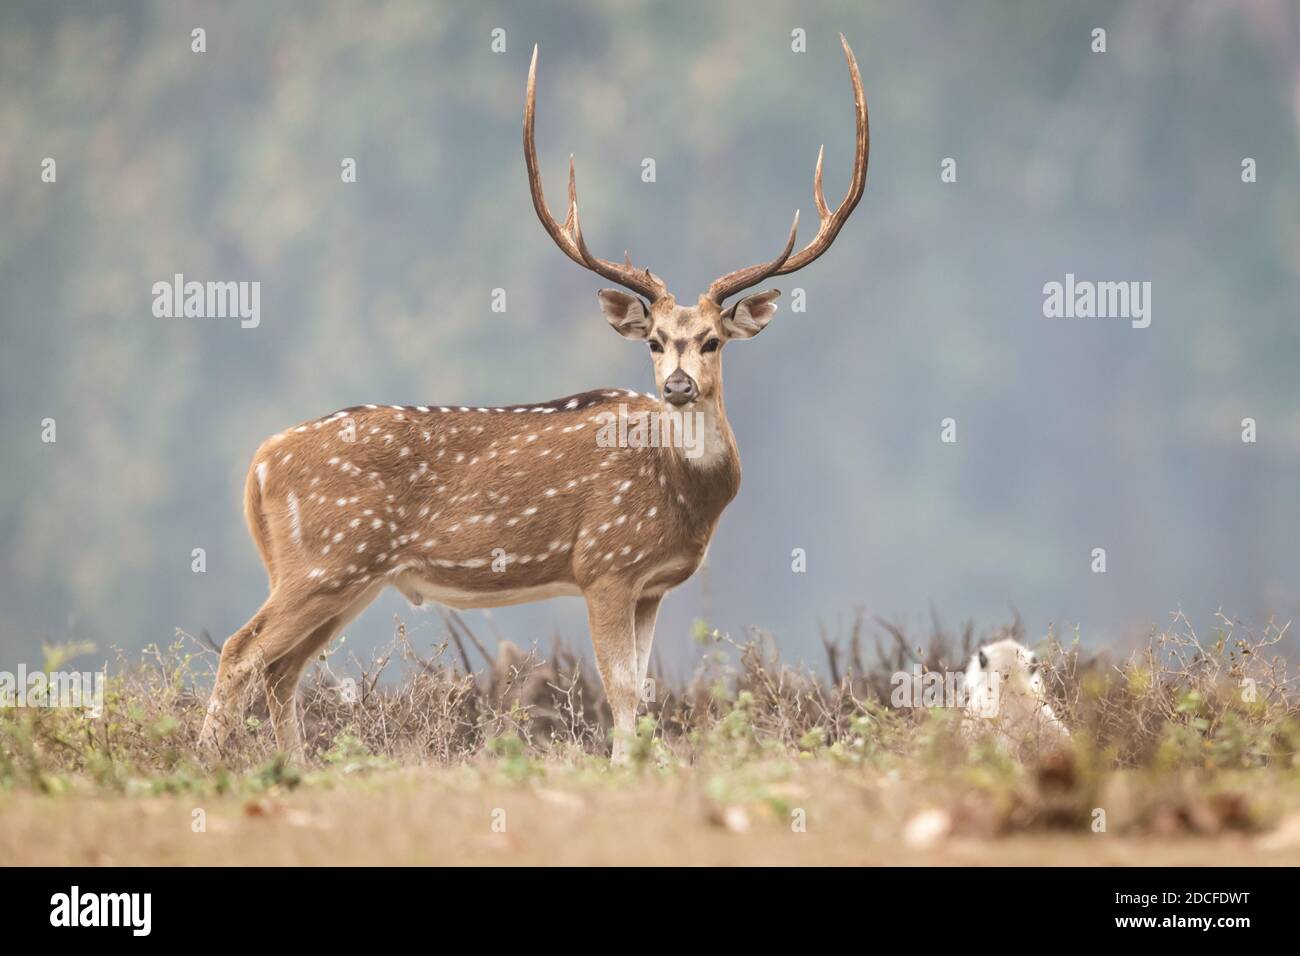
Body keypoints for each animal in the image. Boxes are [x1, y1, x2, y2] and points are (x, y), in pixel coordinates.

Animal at [198, 36, 868, 764]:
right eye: (655, 341)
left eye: (713, 340)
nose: (677, 385)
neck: (685, 495)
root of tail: (260, 462)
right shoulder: (603, 562)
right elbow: (621, 688)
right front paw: (621, 768)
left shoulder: (652, 585)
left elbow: (644, 687)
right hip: (325, 559)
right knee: (240, 651)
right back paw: (204, 760)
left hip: (345, 575)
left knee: (282, 666)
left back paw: (292, 765)